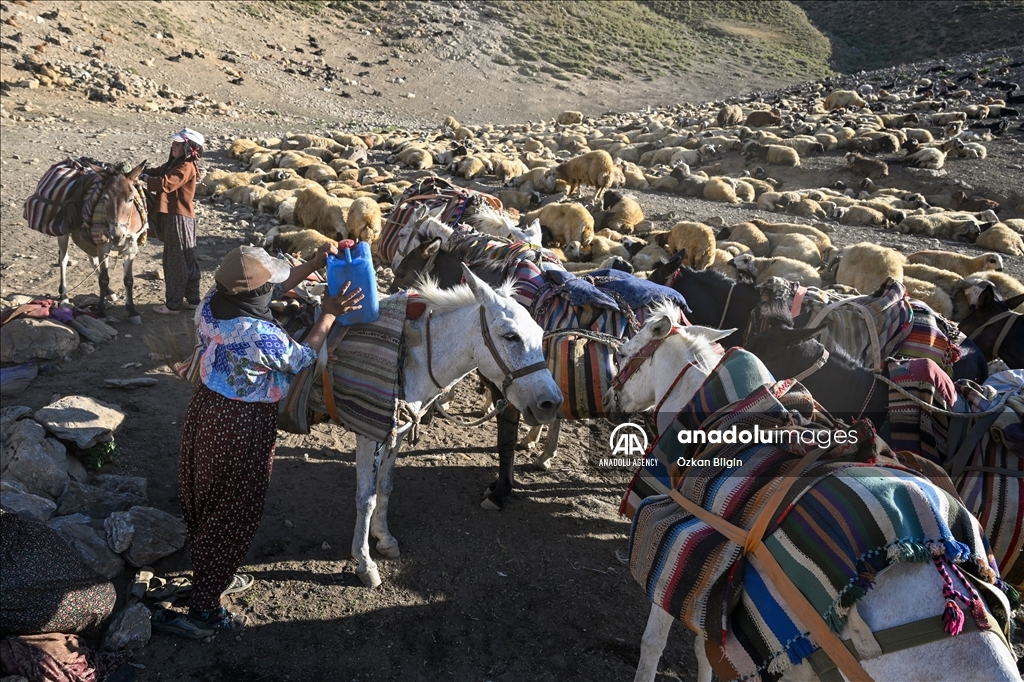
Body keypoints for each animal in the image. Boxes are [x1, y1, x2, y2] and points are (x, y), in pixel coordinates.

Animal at [350, 266, 561, 585]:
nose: (551, 402)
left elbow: (384, 487)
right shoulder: (369, 433)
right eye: (511, 336)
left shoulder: (395, 435)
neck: (407, 356)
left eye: (540, 334)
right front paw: (364, 563)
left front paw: (384, 538)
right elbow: (365, 498)